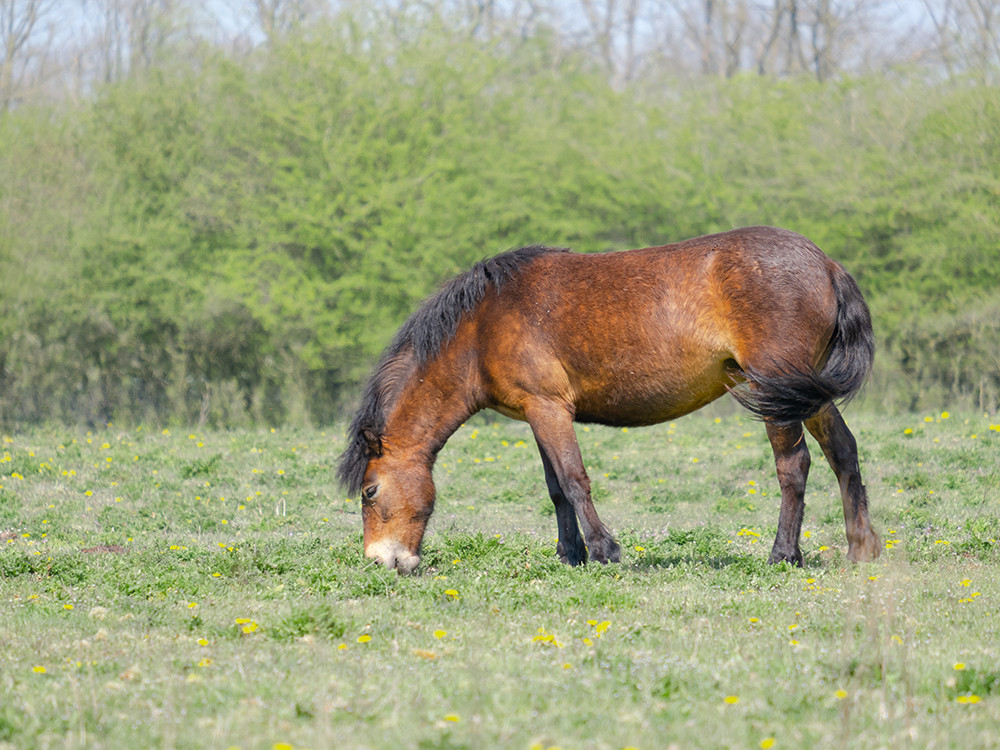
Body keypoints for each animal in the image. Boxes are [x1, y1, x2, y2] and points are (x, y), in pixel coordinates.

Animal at [340, 226, 880, 572]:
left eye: (369, 492)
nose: (384, 562)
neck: (482, 327)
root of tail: (826, 264)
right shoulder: (536, 413)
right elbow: (556, 487)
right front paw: (570, 554)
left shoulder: (550, 407)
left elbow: (575, 479)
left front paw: (603, 551)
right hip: (805, 392)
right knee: (843, 453)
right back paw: (862, 548)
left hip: (776, 390)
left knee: (794, 467)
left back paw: (783, 555)